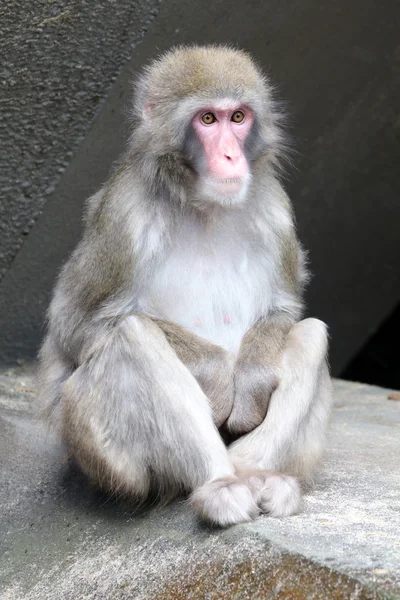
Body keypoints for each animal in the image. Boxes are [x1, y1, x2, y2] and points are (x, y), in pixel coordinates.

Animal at [37, 45, 332, 524]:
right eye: (207, 119)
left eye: (238, 117)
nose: (231, 156)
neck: (203, 205)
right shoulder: (125, 214)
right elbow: (75, 327)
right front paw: (218, 381)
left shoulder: (274, 205)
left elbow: (285, 310)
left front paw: (249, 384)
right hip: (102, 456)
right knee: (131, 336)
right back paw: (220, 486)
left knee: (311, 334)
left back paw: (256, 473)